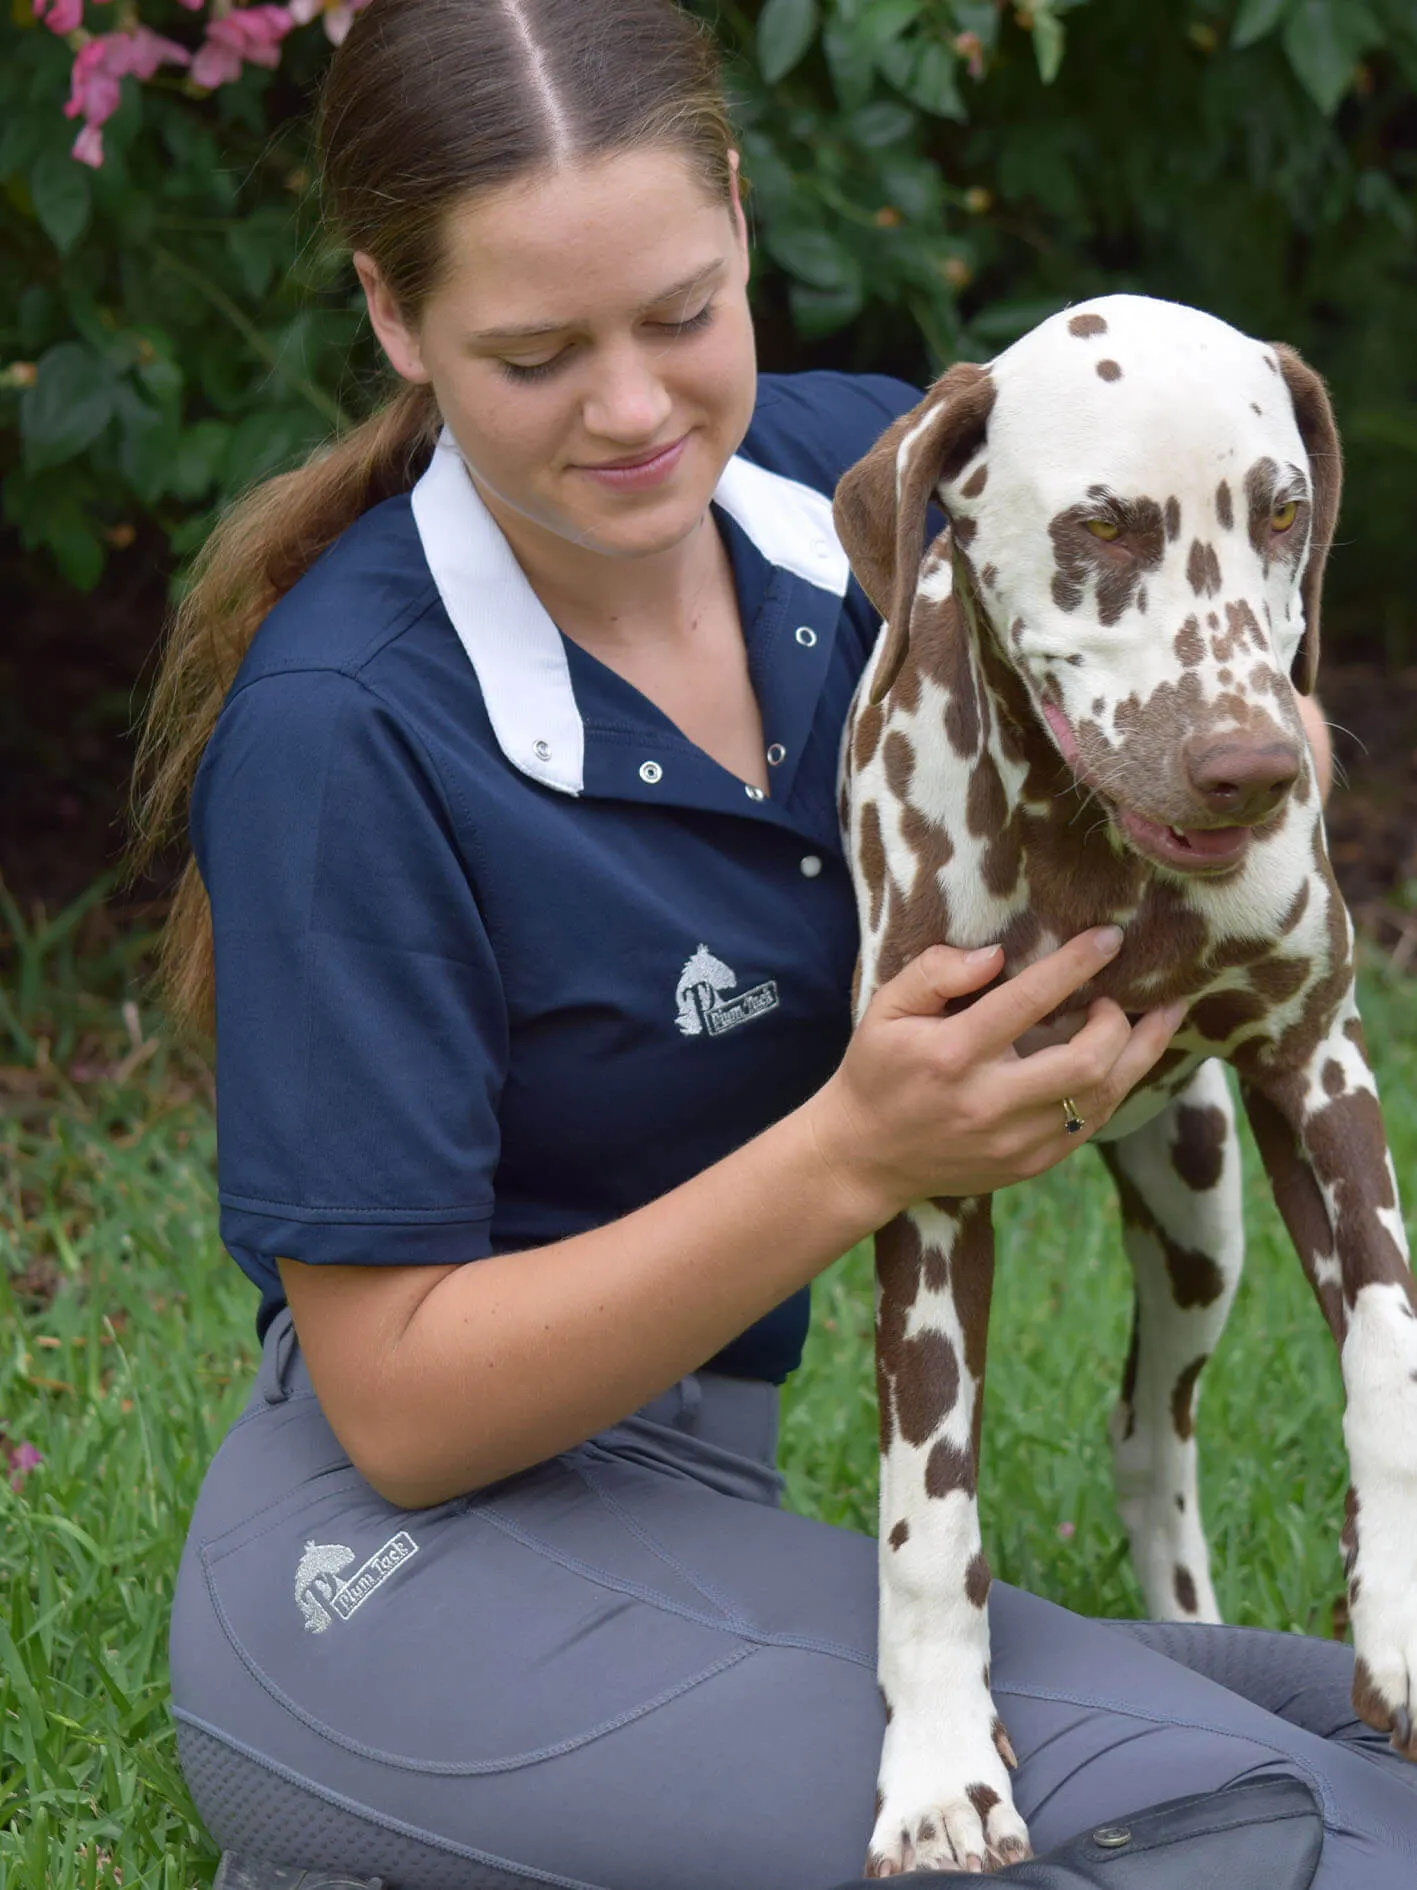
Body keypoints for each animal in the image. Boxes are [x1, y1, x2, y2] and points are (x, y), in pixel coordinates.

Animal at [831, 294, 1417, 1874]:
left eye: (1281, 512)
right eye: (1100, 525)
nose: (1254, 767)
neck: (1093, 865)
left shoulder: (1322, 1071)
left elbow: (1387, 1360)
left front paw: (1399, 1620)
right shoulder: (923, 1183)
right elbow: (927, 1516)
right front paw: (936, 1771)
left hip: (1205, 1210)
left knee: (1154, 1434)